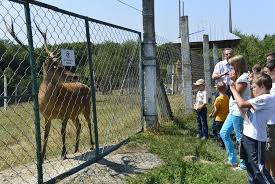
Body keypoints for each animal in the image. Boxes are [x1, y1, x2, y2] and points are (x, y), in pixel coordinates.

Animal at [4, 19, 94, 161]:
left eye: (63, 65)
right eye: (58, 67)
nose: (75, 76)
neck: (50, 104)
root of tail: (88, 87)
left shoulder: (65, 113)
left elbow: (62, 131)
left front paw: (63, 153)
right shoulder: (46, 116)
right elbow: (45, 135)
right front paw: (43, 156)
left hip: (86, 106)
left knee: (89, 123)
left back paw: (91, 145)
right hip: (74, 113)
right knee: (79, 125)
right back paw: (76, 149)